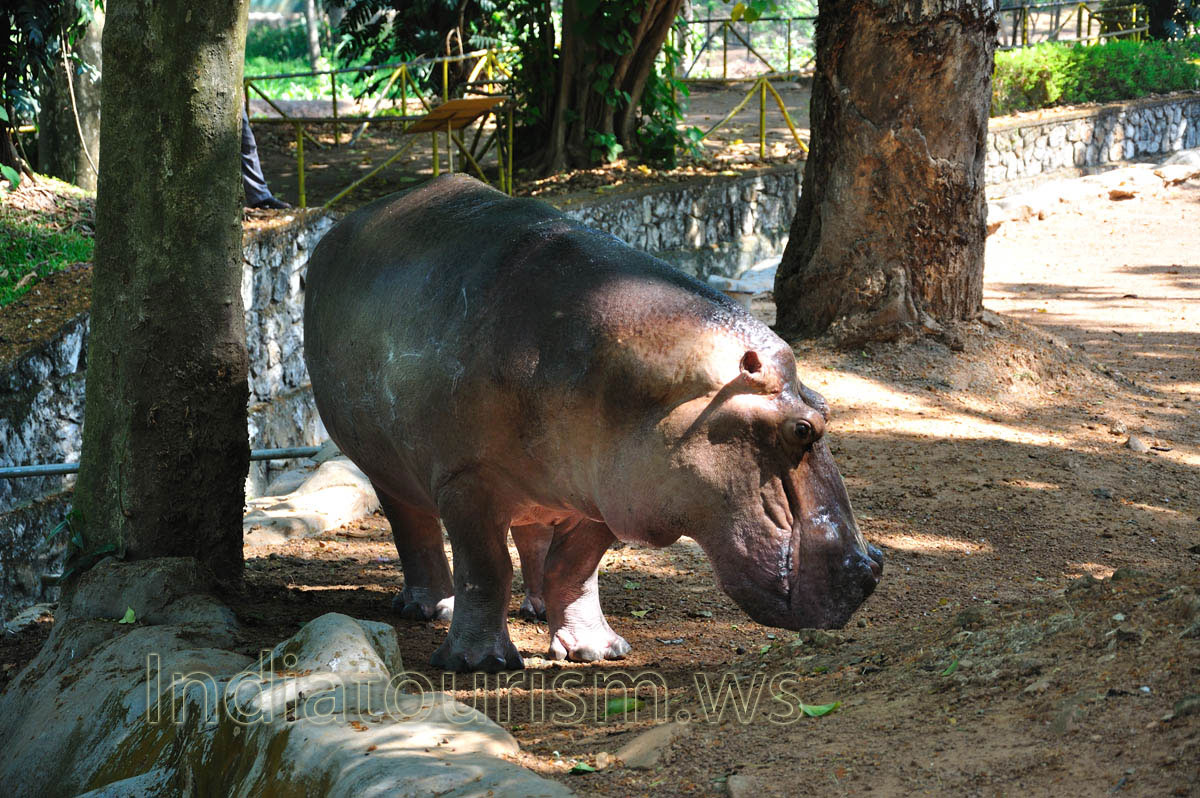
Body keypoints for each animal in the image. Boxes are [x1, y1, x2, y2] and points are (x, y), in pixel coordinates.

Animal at [303, 175, 882, 672]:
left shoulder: (611, 490)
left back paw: (537, 608)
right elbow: (486, 569)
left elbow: (576, 568)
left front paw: (598, 652)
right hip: (386, 464)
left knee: (533, 533)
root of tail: (345, 223)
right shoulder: (466, 480)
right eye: (801, 429)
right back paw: (430, 609)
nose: (870, 571)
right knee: (415, 527)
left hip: (548, 484)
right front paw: (479, 664)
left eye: (825, 405)